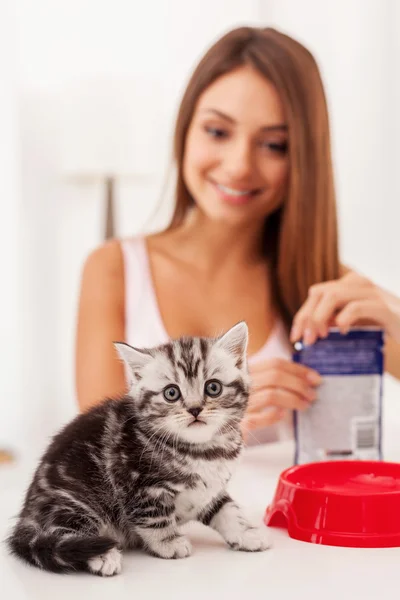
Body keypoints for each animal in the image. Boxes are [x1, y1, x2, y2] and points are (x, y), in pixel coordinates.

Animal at [6, 324, 270, 576]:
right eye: (171, 393)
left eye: (213, 388)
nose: (195, 409)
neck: (203, 451)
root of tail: (27, 513)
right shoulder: (140, 486)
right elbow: (154, 518)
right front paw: (169, 543)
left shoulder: (210, 491)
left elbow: (227, 510)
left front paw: (246, 533)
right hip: (75, 502)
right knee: (67, 534)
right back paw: (103, 555)